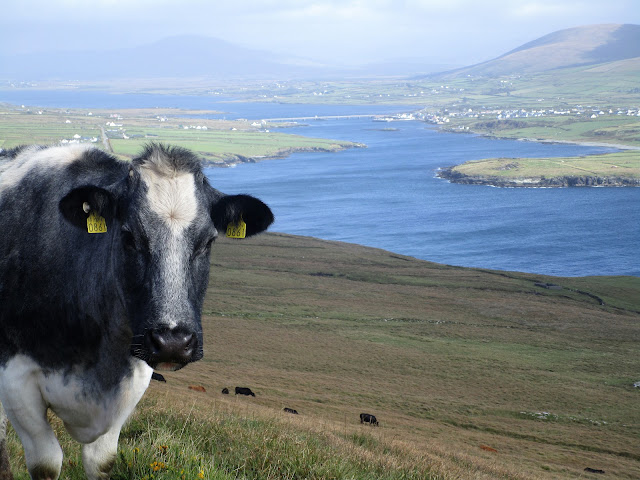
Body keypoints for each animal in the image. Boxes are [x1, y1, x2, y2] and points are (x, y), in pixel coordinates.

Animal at [0, 143, 272, 480]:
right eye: (129, 236)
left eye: (208, 241)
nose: (173, 342)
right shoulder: (15, 378)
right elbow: (46, 462)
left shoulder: (133, 380)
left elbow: (101, 461)